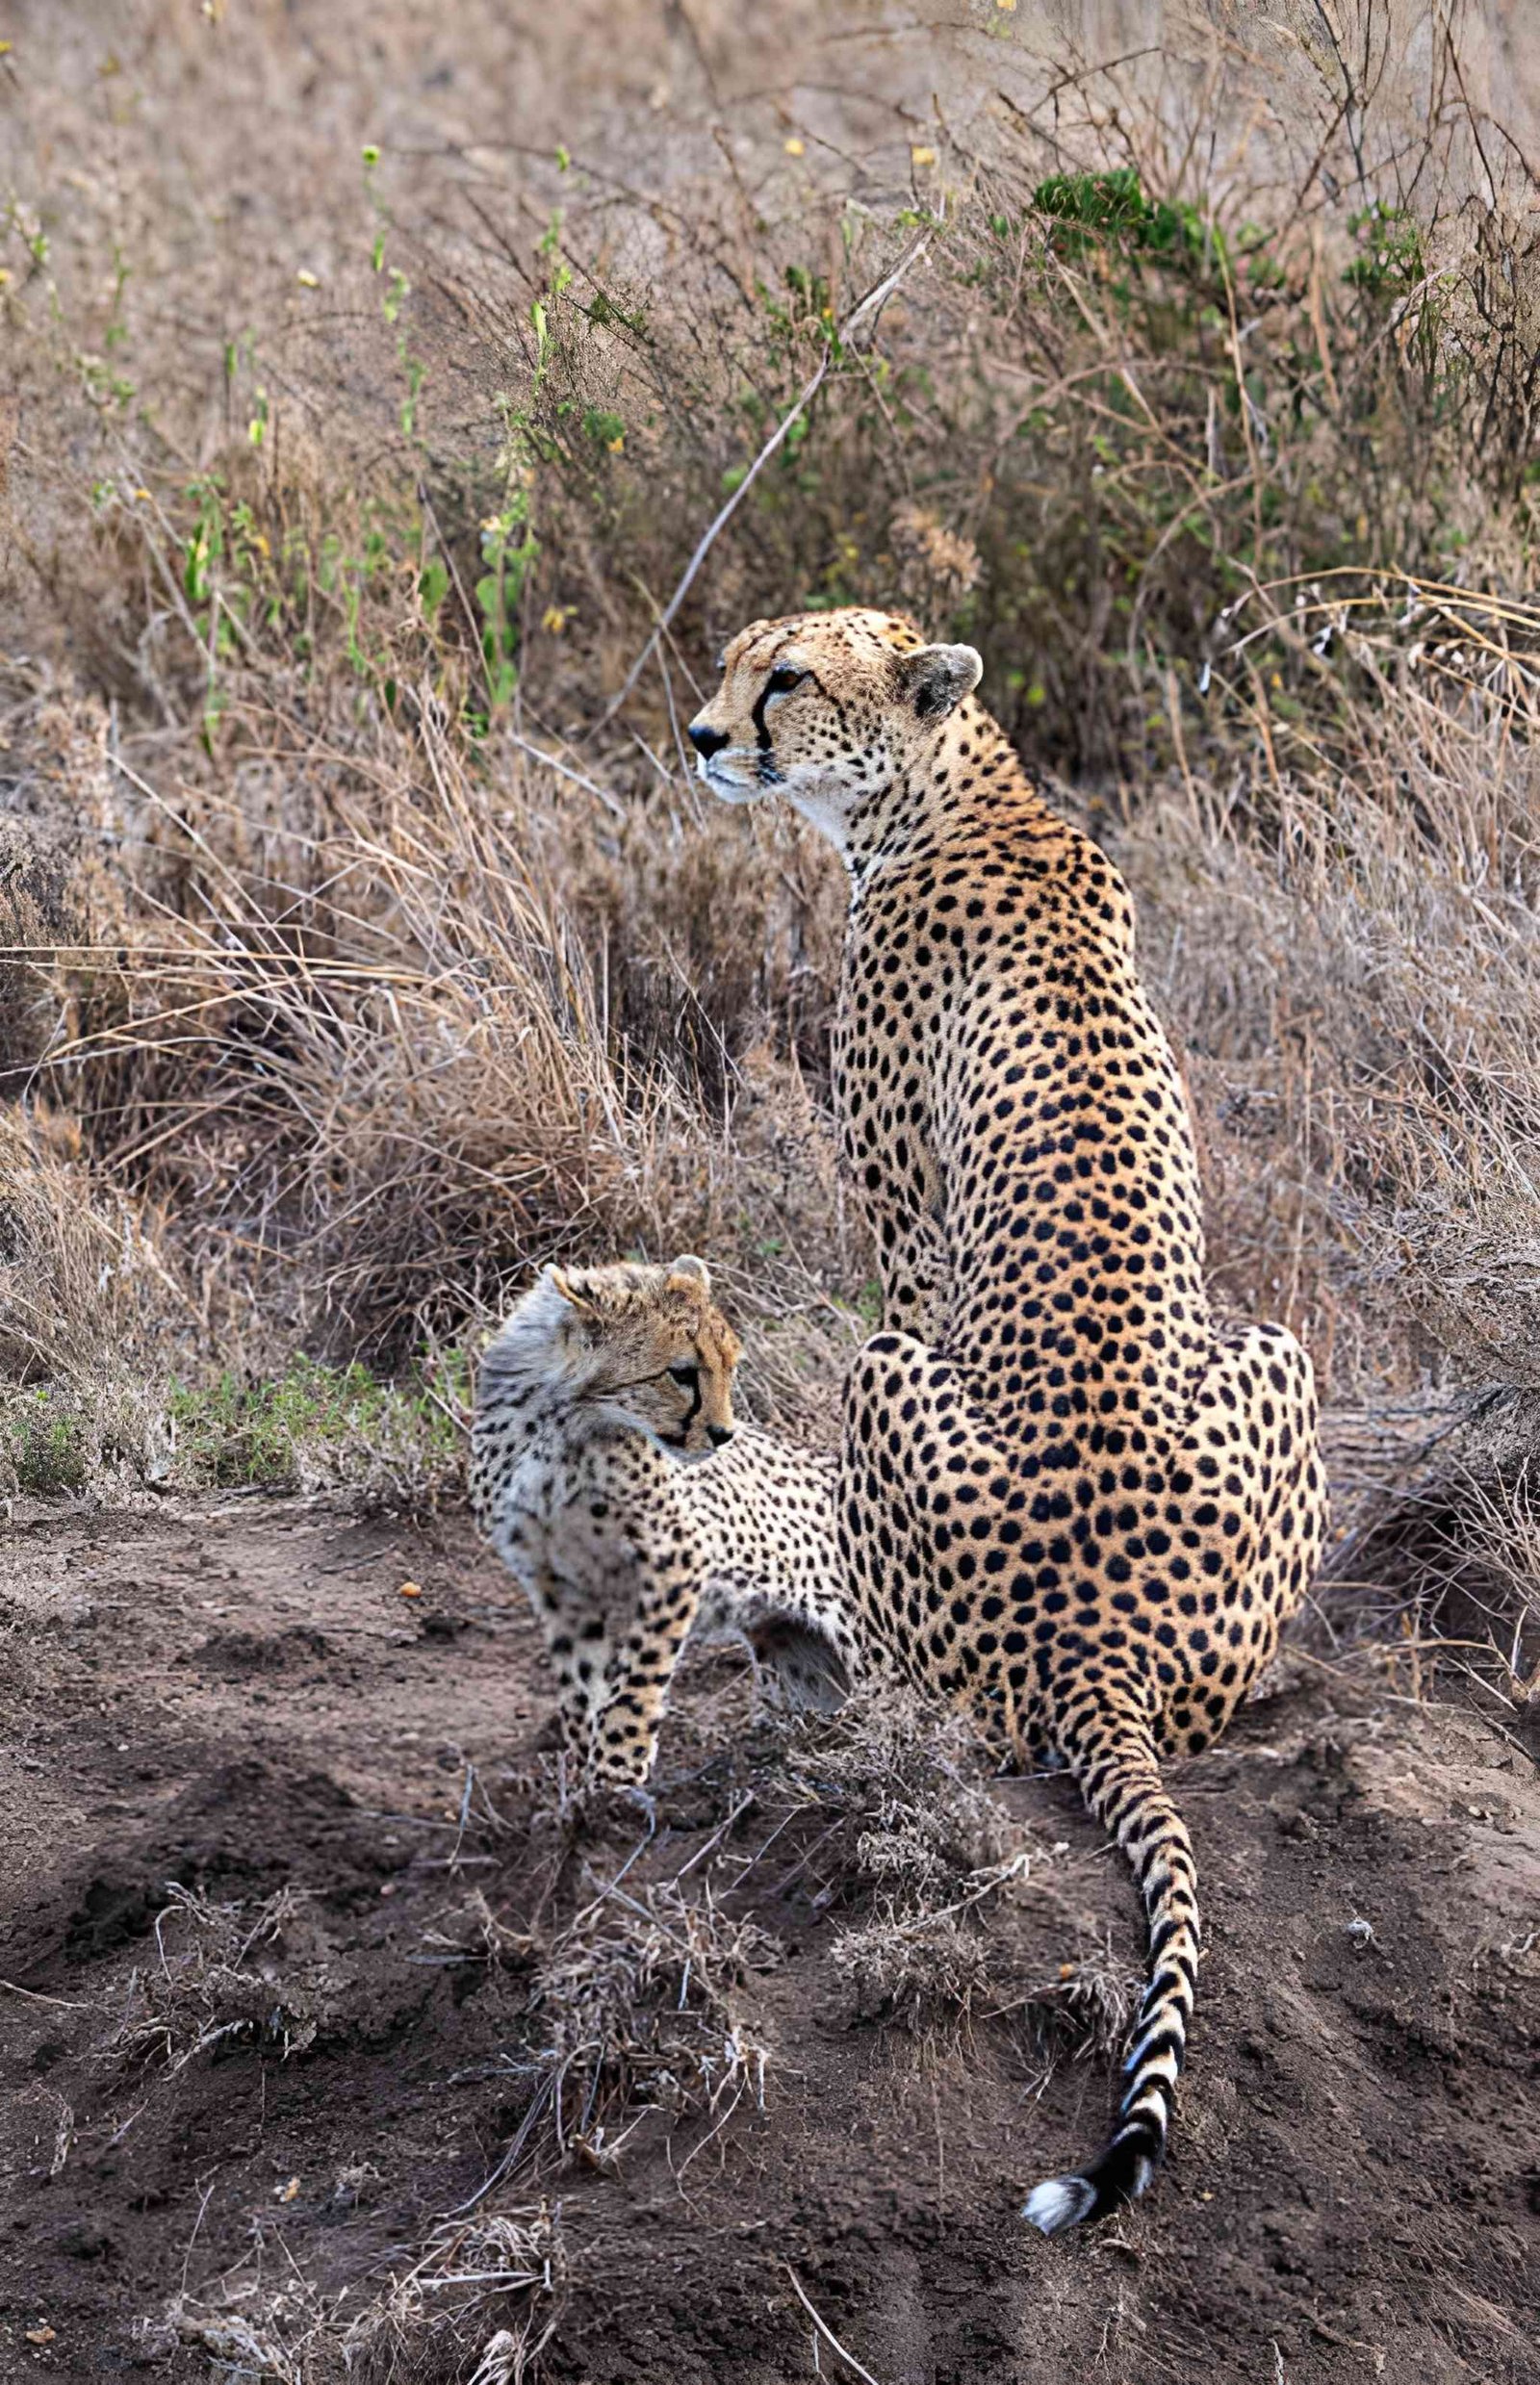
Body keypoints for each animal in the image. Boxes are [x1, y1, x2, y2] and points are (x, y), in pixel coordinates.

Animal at [469, 1254, 858, 1786]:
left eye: (730, 1366)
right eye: (682, 1373)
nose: (724, 1435)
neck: (559, 1425)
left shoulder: (676, 1559)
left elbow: (638, 1672)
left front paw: (616, 1772)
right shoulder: (554, 1578)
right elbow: (580, 1680)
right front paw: (581, 1780)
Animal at [689, 608, 1328, 2233]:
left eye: (786, 677)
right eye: (733, 658)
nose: (702, 737)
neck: (955, 788)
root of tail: (1103, 1634)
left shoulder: (905, 1251)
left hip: (882, 1375)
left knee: (933, 1691)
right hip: (1280, 1347)